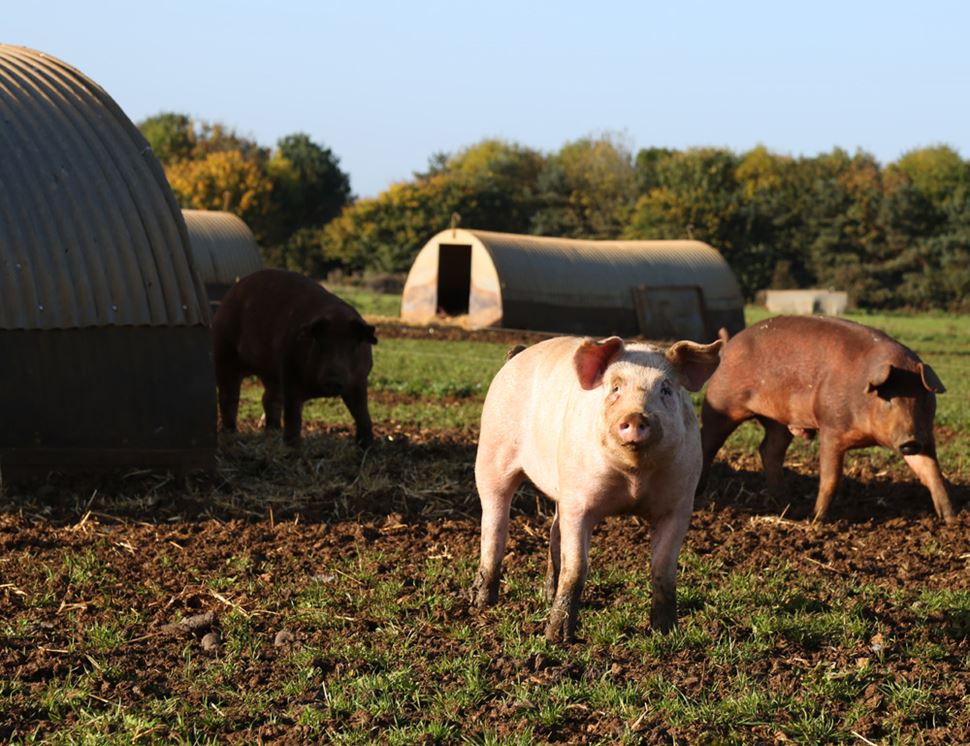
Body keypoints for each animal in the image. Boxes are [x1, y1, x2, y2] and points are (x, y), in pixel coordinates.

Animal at [211, 268, 374, 444]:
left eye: (353, 346)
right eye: (320, 343)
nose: (333, 380)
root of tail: (229, 295)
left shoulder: (359, 381)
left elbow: (362, 414)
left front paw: (366, 445)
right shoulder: (290, 372)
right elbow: (293, 415)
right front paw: (293, 444)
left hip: (271, 372)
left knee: (269, 398)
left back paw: (273, 429)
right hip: (224, 354)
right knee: (229, 396)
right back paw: (231, 432)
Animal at [472, 332, 724, 640]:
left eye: (665, 389)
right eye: (615, 387)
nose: (637, 416)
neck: (634, 477)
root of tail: (518, 355)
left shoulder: (679, 505)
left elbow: (663, 569)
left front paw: (666, 632)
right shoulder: (580, 502)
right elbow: (577, 568)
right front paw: (556, 638)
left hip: (561, 487)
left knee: (554, 532)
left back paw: (546, 595)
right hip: (491, 453)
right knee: (494, 526)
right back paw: (483, 603)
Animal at [696, 316, 952, 524]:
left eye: (923, 398)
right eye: (888, 399)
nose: (910, 441)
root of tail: (728, 344)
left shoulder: (925, 436)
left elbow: (932, 473)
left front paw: (950, 519)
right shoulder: (831, 428)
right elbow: (831, 478)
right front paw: (817, 520)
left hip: (779, 422)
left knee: (769, 450)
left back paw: (785, 503)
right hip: (721, 404)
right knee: (707, 444)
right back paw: (699, 494)